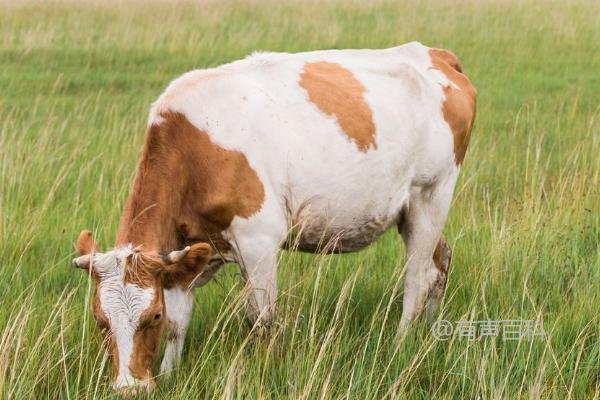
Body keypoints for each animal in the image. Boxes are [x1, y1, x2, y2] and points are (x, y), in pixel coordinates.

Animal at [71, 41, 474, 394]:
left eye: (149, 316)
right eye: (100, 321)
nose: (128, 389)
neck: (193, 152)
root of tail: (433, 53)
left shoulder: (258, 241)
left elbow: (261, 319)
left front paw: (266, 370)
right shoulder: (186, 254)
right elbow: (179, 323)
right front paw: (170, 376)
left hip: (431, 194)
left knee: (418, 277)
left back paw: (402, 342)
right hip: (412, 210)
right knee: (441, 261)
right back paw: (432, 328)